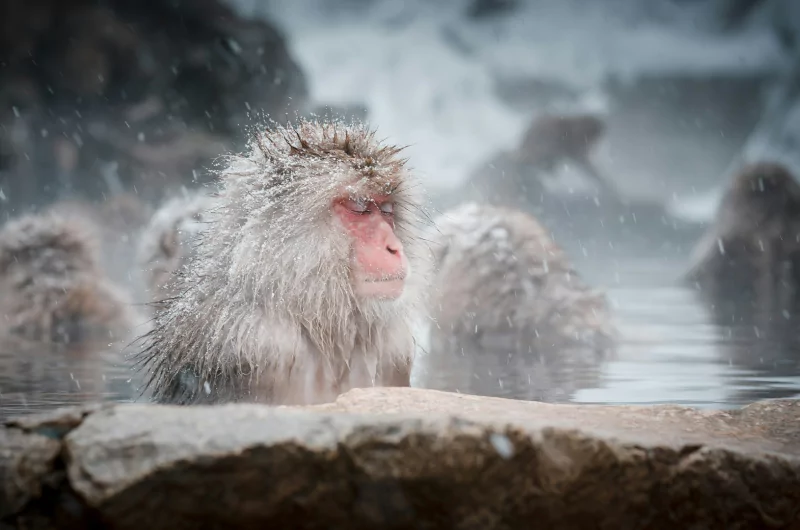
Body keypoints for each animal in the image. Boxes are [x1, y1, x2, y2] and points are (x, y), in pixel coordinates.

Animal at [139, 118, 438, 404]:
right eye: (360, 208)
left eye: (386, 210)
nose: (394, 247)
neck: (321, 324)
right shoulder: (261, 347)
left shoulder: (394, 350)